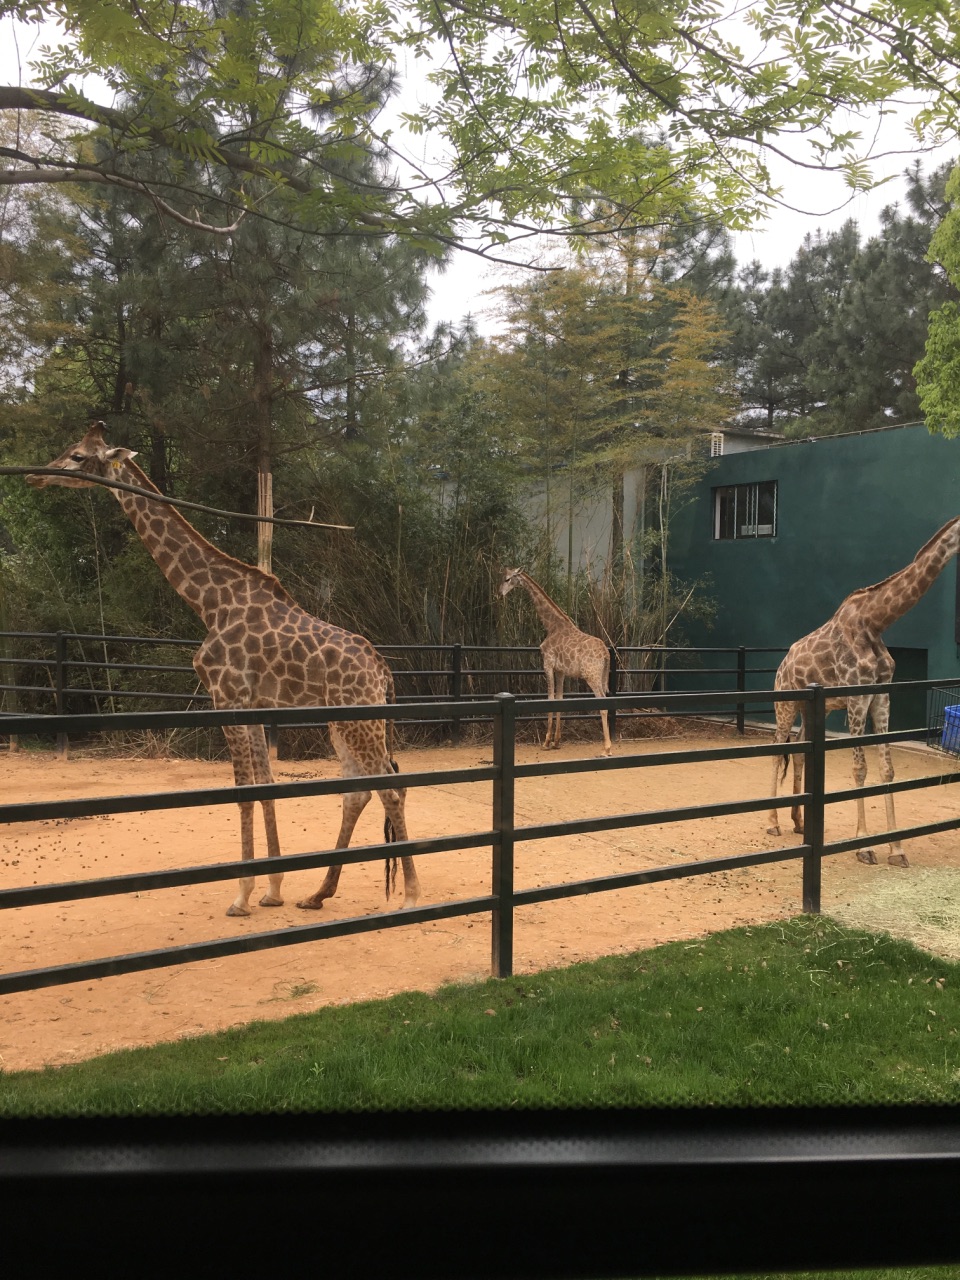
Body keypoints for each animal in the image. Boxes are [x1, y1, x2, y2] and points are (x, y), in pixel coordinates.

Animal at [28, 424, 419, 916]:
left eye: (78, 456)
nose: (37, 476)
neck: (209, 602)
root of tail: (384, 672)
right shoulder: (250, 702)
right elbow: (265, 785)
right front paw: (273, 890)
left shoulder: (226, 695)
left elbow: (243, 789)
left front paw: (242, 895)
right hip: (344, 721)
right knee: (358, 790)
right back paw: (317, 894)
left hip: (360, 720)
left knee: (391, 788)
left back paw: (410, 895)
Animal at [499, 565, 611, 752]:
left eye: (507, 579)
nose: (499, 593)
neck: (551, 626)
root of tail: (606, 653)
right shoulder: (561, 671)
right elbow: (559, 699)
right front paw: (556, 741)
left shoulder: (548, 664)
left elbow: (550, 698)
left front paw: (546, 742)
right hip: (600, 676)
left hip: (591, 676)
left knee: (603, 704)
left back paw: (607, 748)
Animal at [773, 514, 960, 865]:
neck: (876, 622)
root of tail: (782, 664)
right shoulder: (856, 694)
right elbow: (860, 768)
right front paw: (864, 845)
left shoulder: (881, 695)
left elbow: (887, 768)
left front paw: (897, 848)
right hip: (784, 704)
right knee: (779, 751)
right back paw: (773, 823)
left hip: (810, 707)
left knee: (801, 749)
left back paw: (799, 822)